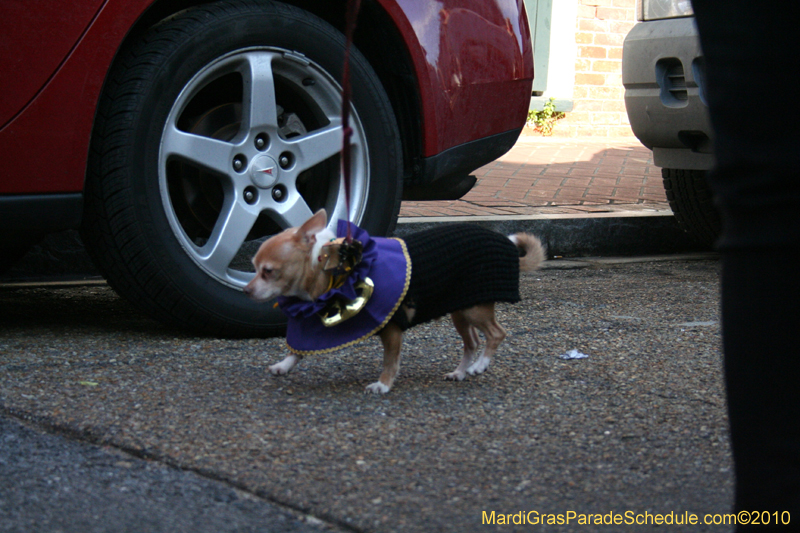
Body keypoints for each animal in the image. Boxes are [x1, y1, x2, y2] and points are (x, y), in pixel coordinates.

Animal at [244, 210, 544, 392]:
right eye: (253, 267)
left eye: (267, 271)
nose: (246, 290)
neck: (330, 272)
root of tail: (505, 245)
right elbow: (300, 347)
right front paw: (284, 365)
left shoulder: (391, 329)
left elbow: (390, 360)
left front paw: (383, 384)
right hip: (461, 311)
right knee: (472, 342)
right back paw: (461, 371)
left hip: (474, 310)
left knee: (496, 334)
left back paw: (481, 365)